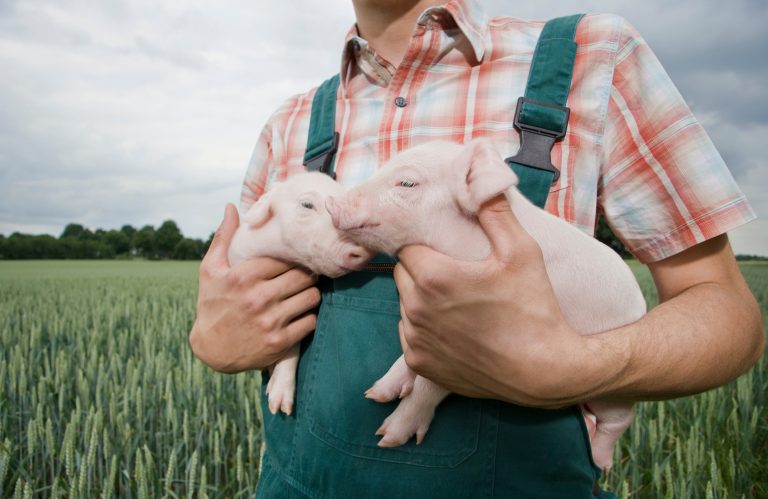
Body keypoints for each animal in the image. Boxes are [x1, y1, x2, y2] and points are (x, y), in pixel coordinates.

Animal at [326, 138, 646, 471]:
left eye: (407, 182)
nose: (331, 202)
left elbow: (432, 383)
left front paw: (386, 437)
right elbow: (409, 357)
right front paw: (375, 393)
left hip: (614, 391)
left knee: (618, 422)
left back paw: (600, 460)